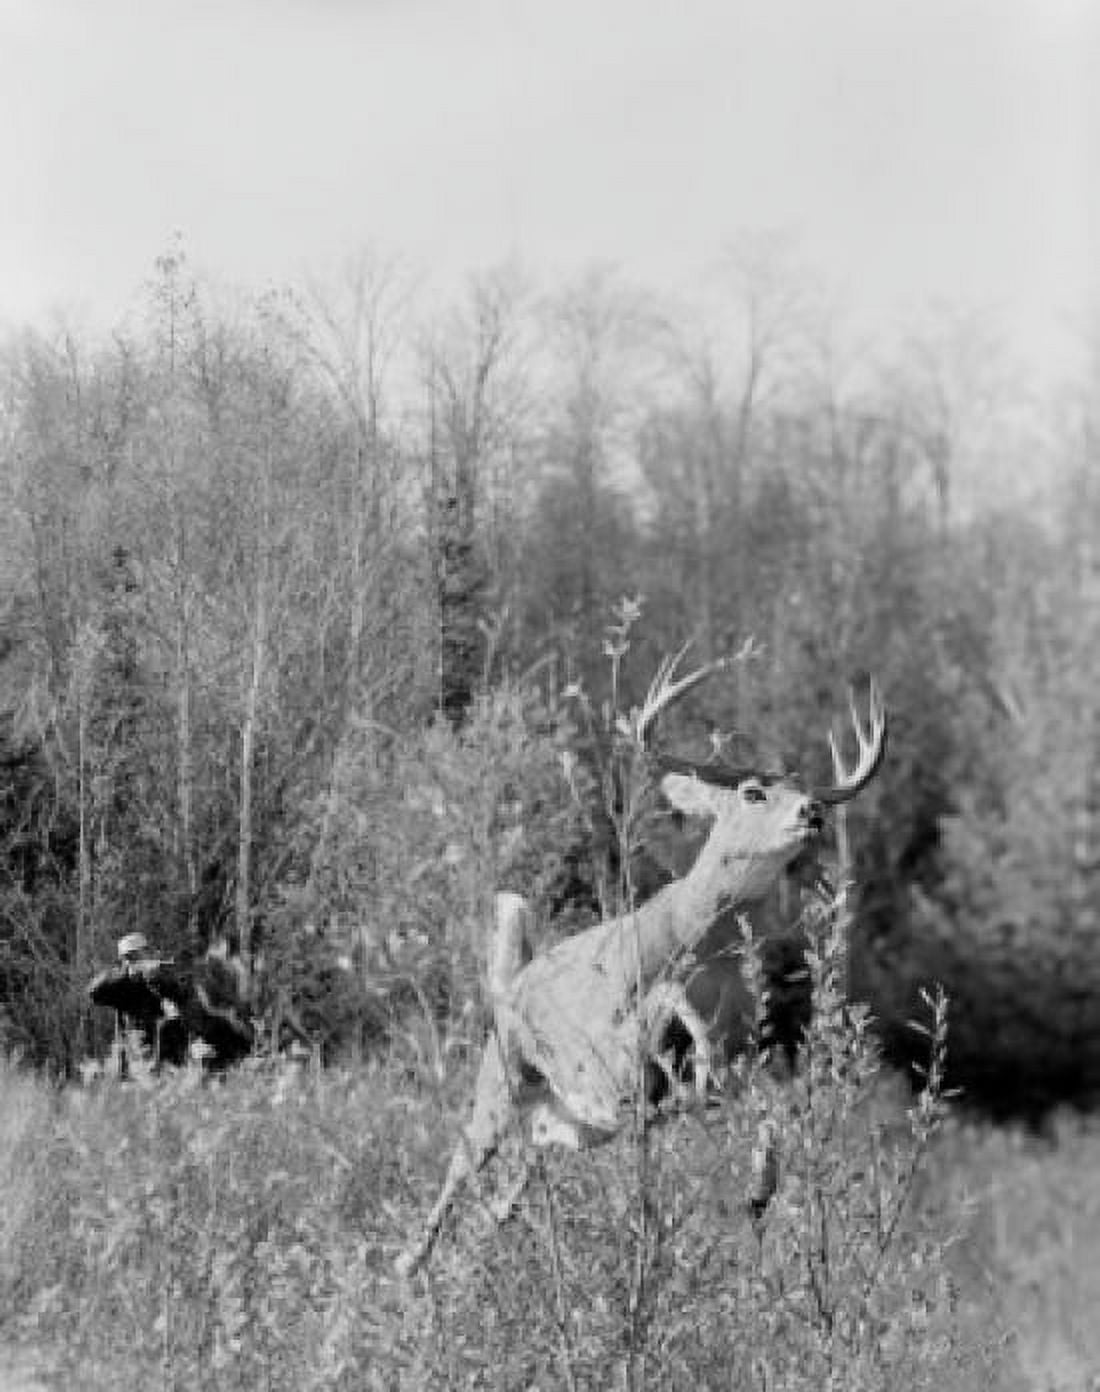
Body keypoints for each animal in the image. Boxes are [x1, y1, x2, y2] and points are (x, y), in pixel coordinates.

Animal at [394, 651, 887, 1277]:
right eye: (754, 792)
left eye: (800, 788)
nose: (815, 810)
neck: (697, 945)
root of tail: (511, 986)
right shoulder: (617, 1065)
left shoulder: (736, 1057)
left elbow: (767, 1107)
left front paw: (758, 1192)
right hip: (502, 1078)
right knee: (458, 1172)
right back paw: (405, 1267)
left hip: (566, 1127)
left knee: (501, 1204)